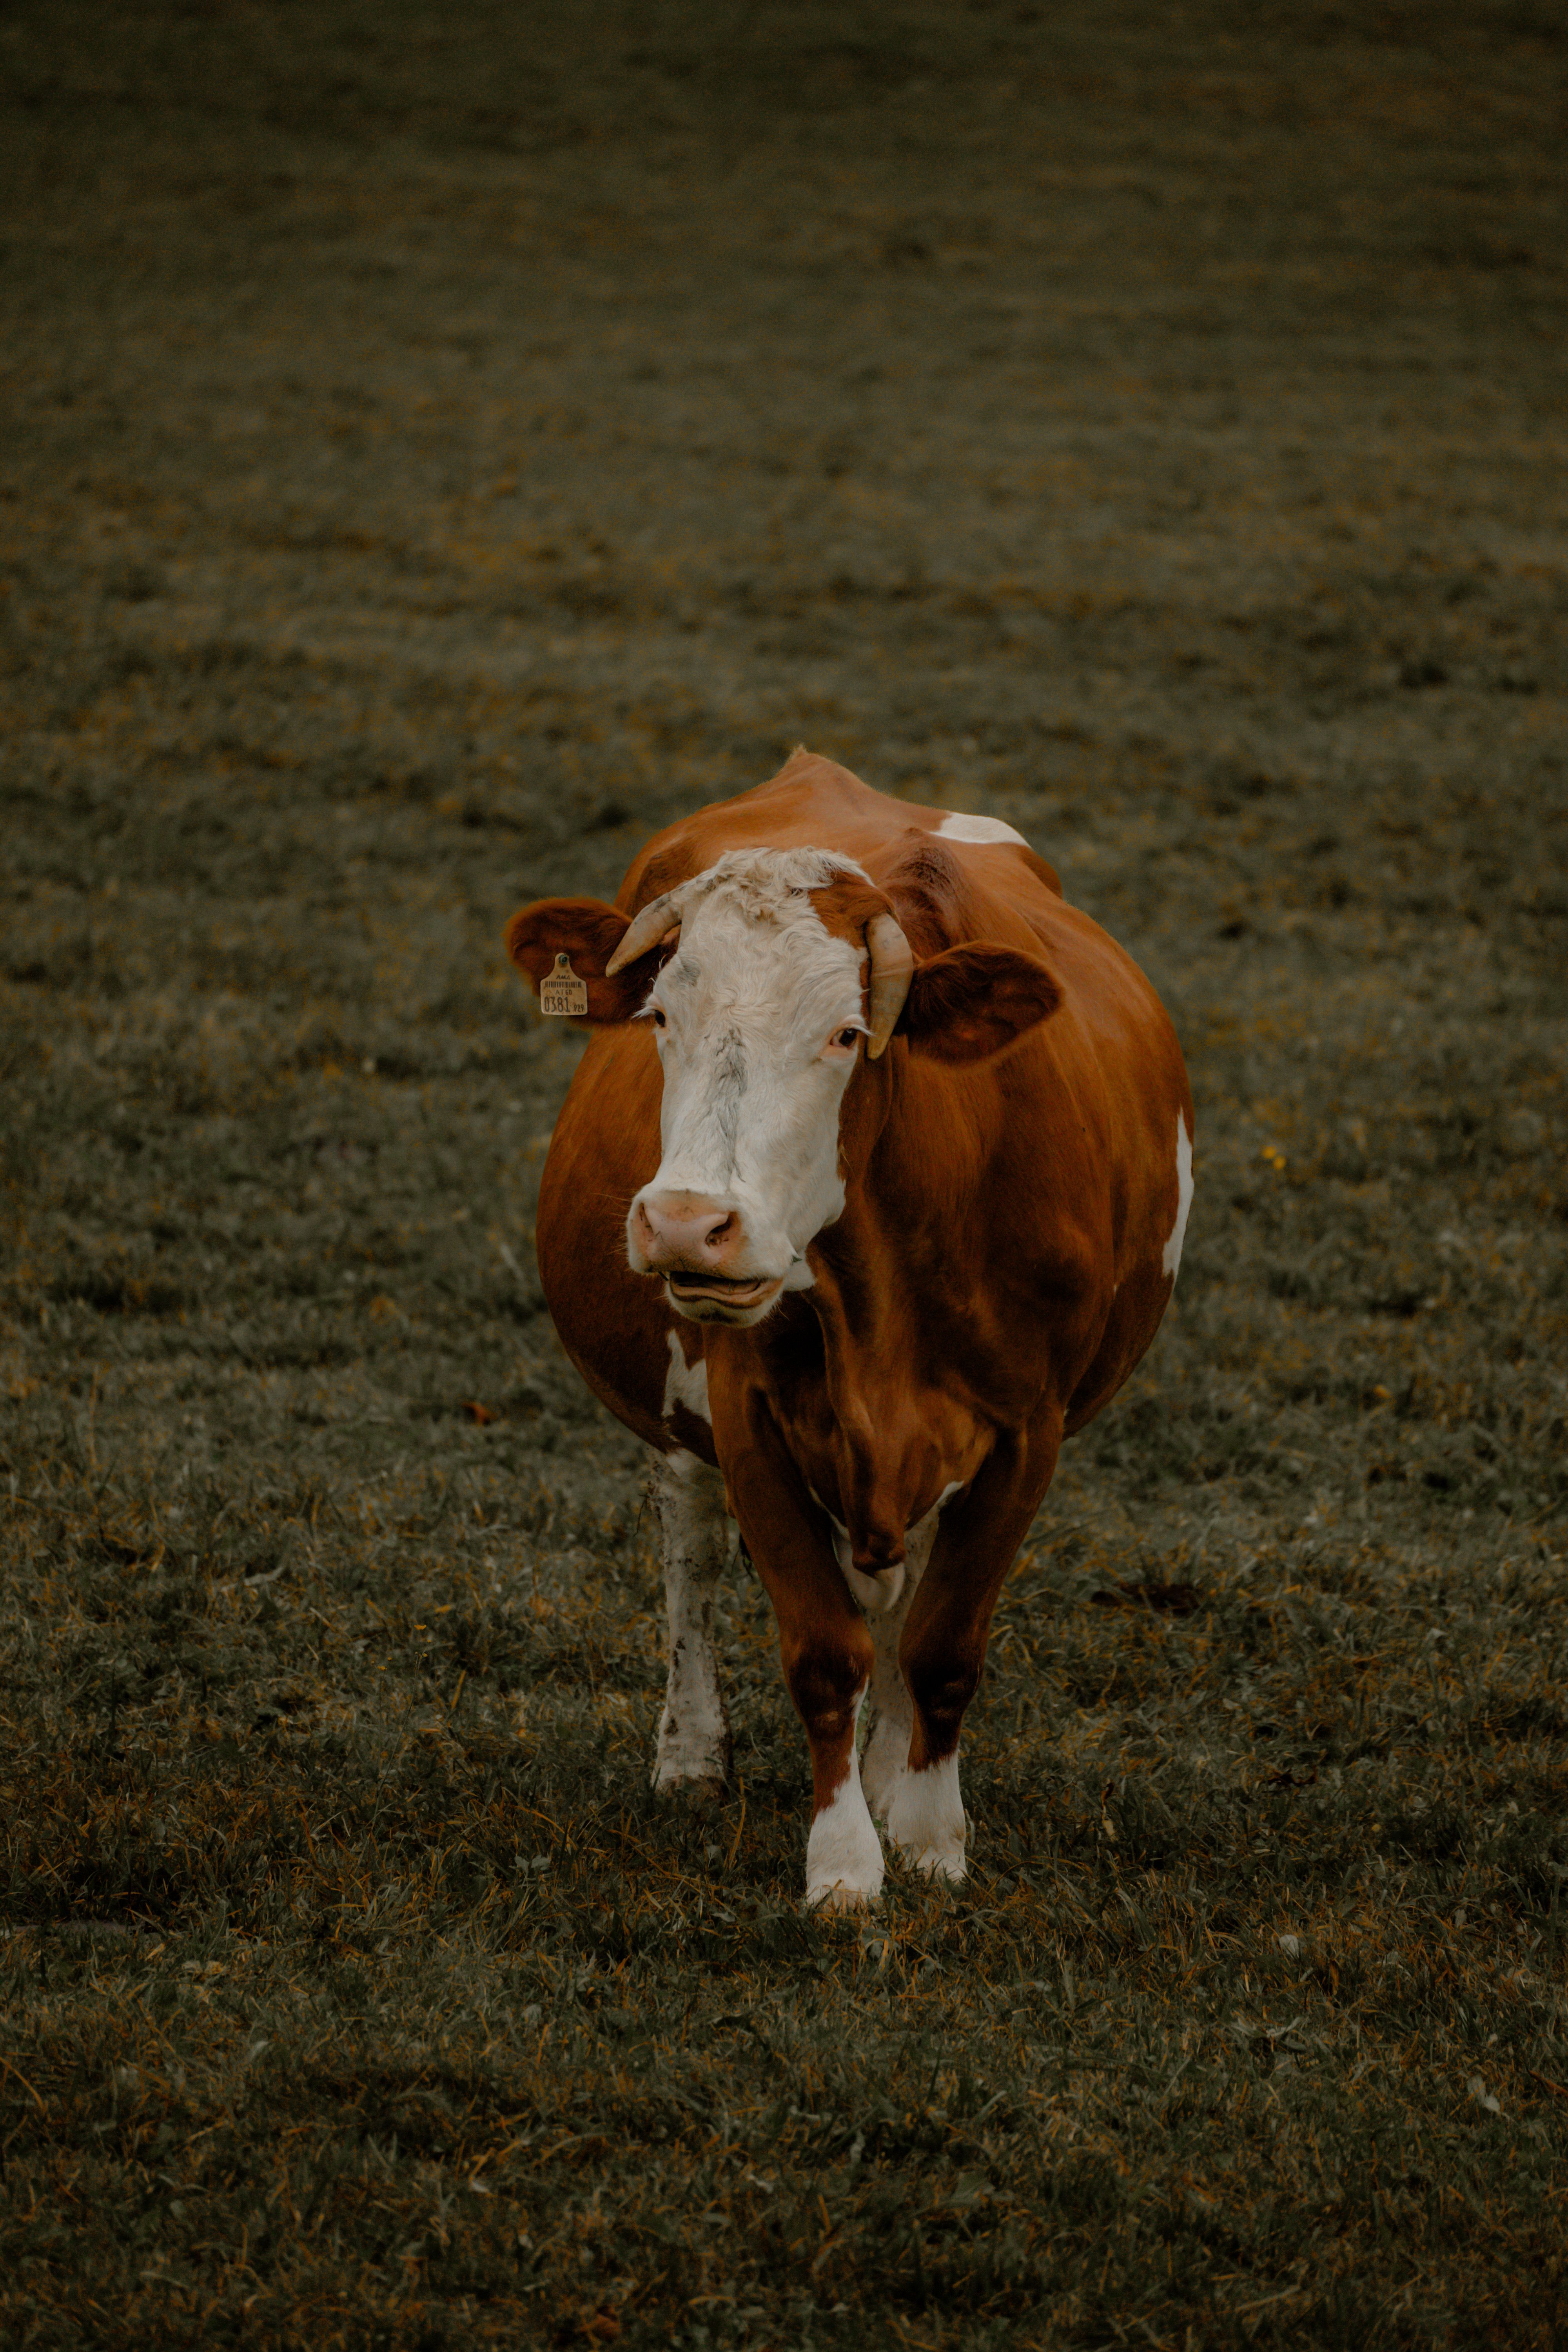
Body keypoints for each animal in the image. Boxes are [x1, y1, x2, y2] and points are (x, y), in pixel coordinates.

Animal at [505, 750, 1193, 1910]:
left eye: (845, 1034)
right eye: (660, 1020)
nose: (686, 1222)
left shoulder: (1027, 1432)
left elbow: (943, 1645)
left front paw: (926, 1833)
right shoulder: (747, 1416)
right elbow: (824, 1650)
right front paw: (843, 1864)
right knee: (689, 1540)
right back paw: (692, 1751)